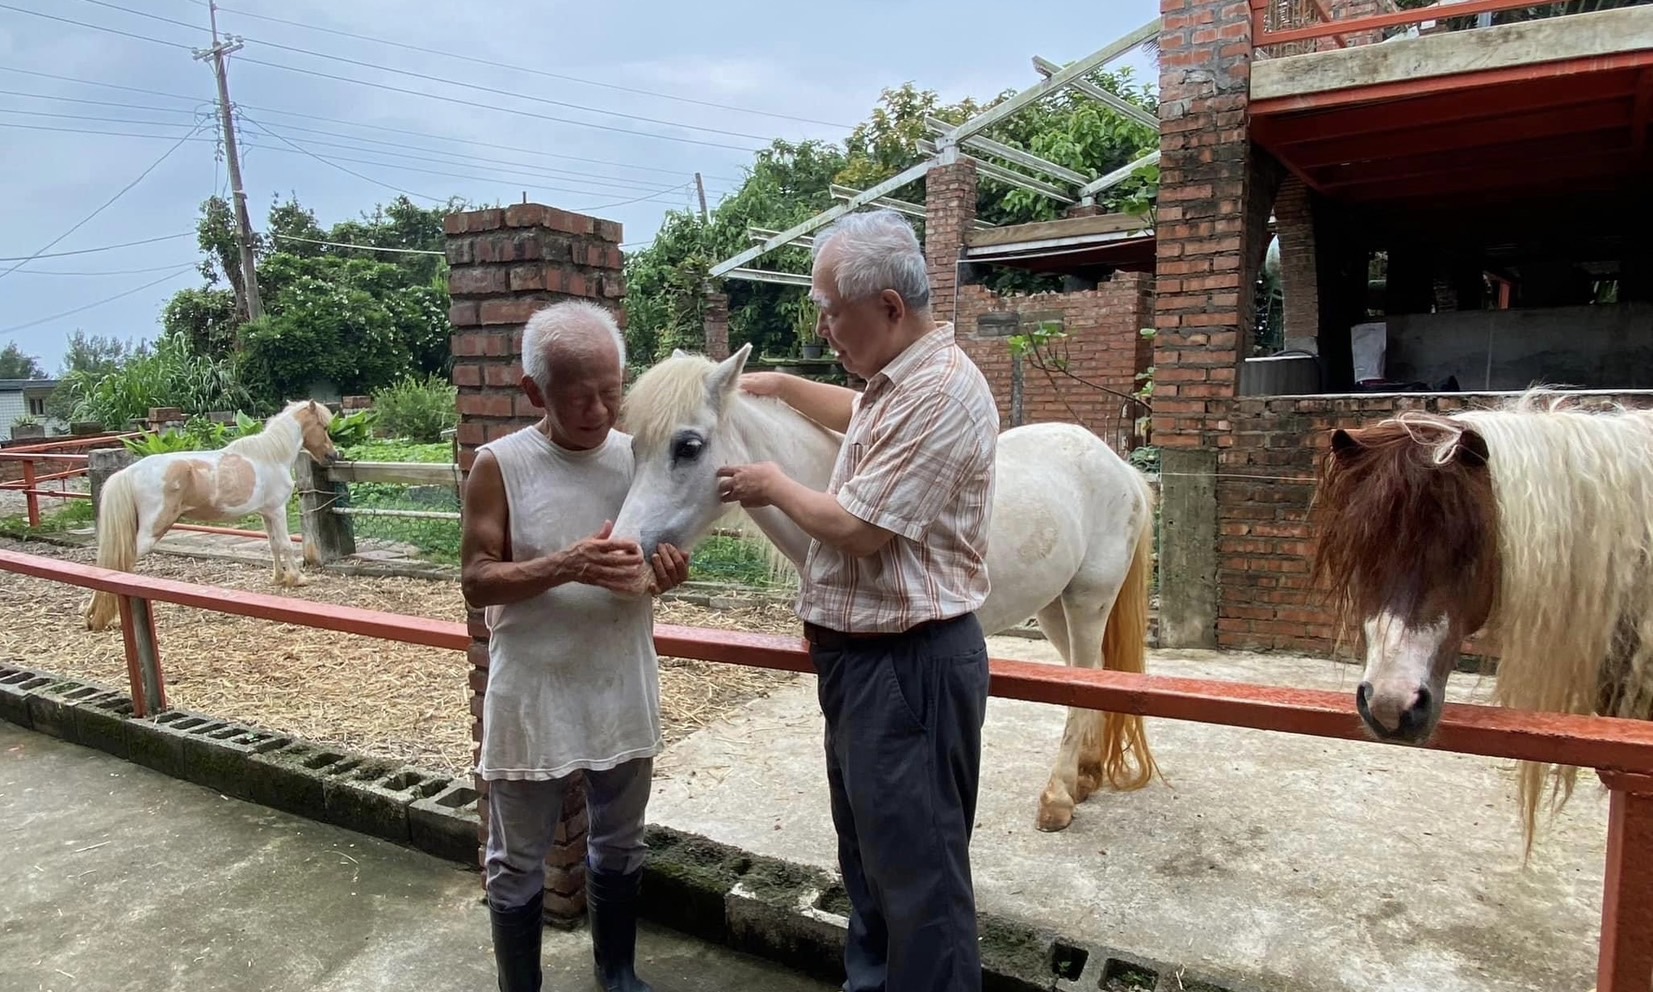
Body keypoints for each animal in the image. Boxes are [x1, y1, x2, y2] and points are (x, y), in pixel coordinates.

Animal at [87, 398, 342, 631]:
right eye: (324, 427)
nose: (333, 455)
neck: (271, 457)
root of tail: (129, 472)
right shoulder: (278, 511)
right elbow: (287, 545)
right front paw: (297, 578)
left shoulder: (267, 513)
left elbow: (273, 546)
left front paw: (279, 577)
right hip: (153, 530)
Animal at [611, 345, 1163, 833]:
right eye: (635, 446)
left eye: (688, 446)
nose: (624, 552)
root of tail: (1118, 466)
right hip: (1052, 607)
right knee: (1092, 674)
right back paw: (1086, 774)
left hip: (1087, 601)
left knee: (1086, 677)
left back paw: (1059, 796)